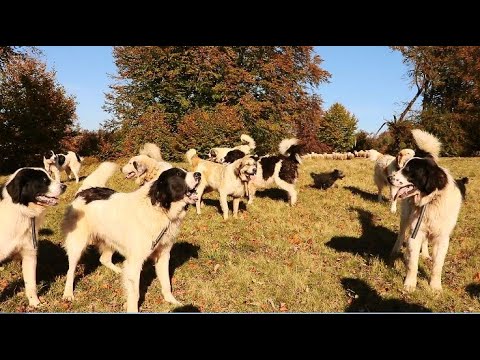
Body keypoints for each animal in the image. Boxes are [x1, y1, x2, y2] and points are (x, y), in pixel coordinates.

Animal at [0, 168, 66, 306]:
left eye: (50, 176)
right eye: (44, 180)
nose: (64, 186)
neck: (21, 212)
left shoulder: (29, 254)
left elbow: (31, 283)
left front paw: (35, 303)